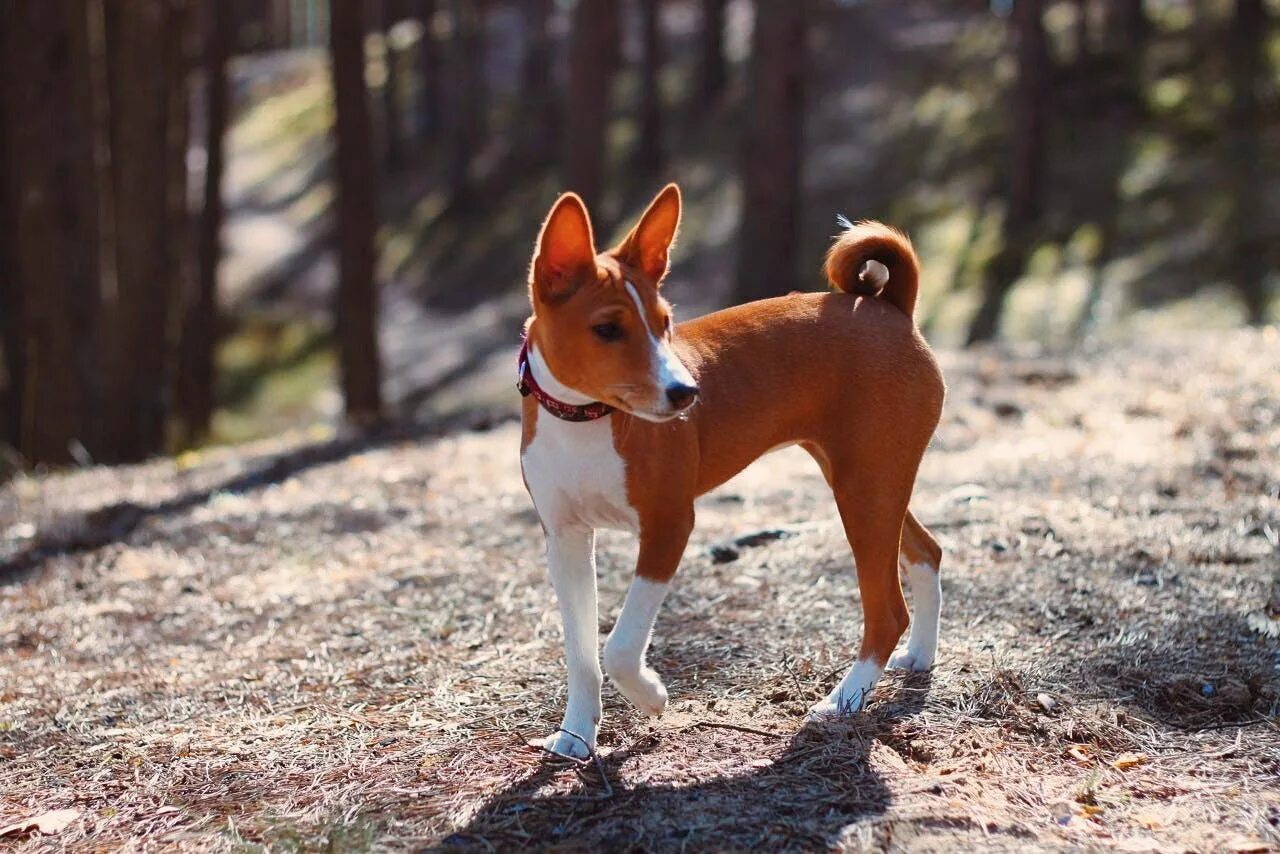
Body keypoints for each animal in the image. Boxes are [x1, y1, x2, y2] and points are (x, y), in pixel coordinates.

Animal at [514, 184, 947, 757]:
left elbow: (621, 647)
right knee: (926, 552)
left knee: (888, 610)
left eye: (665, 323)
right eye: (606, 329)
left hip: (865, 490)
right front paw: (576, 737)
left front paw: (651, 696)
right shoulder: (564, 539)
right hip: (869, 478)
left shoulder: (669, 526)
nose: (686, 393)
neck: (585, 420)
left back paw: (842, 701)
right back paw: (919, 656)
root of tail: (889, 307)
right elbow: (582, 654)